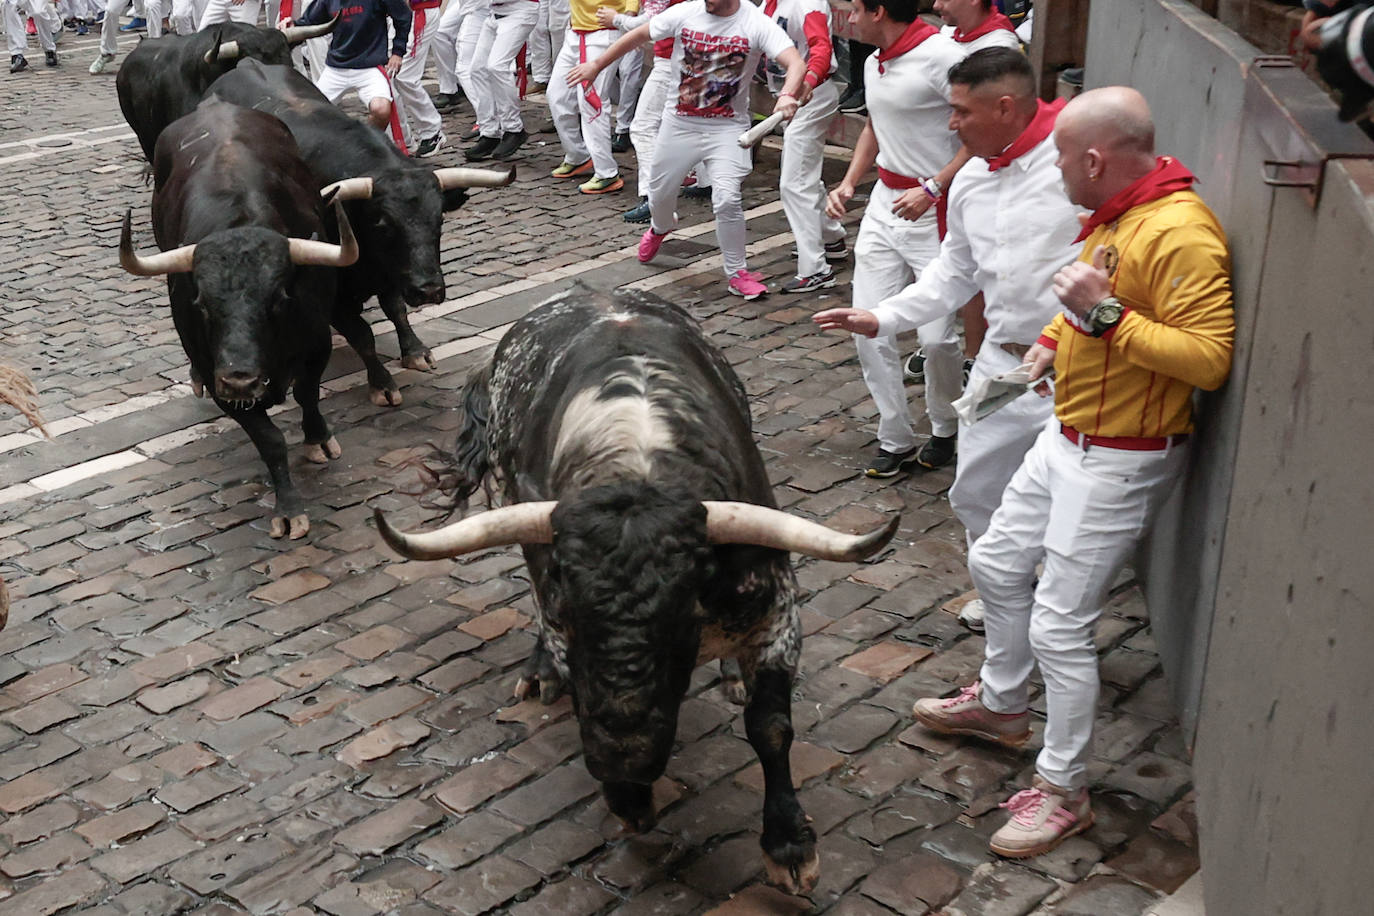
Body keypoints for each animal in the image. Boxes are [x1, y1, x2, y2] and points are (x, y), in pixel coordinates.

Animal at [208, 62, 516, 406]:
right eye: (382, 224)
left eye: (439, 219)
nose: (428, 290)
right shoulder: (332, 292)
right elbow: (362, 335)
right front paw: (382, 383)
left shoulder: (392, 273)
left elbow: (396, 310)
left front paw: (415, 351)